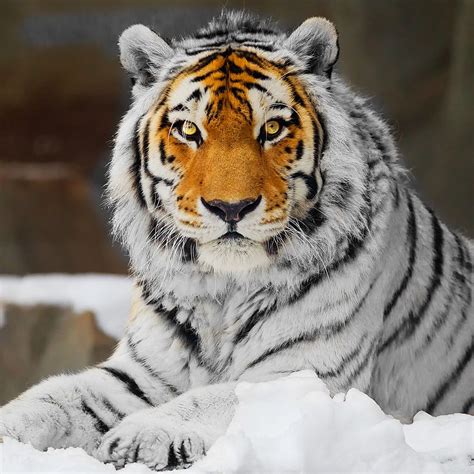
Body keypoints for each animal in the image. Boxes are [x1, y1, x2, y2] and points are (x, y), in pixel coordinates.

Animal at [0, 10, 474, 470]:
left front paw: (138, 437)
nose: (231, 208)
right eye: (189, 130)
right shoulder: (142, 373)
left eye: (274, 127)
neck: (223, 289)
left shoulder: (304, 373)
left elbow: (213, 397)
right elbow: (53, 396)